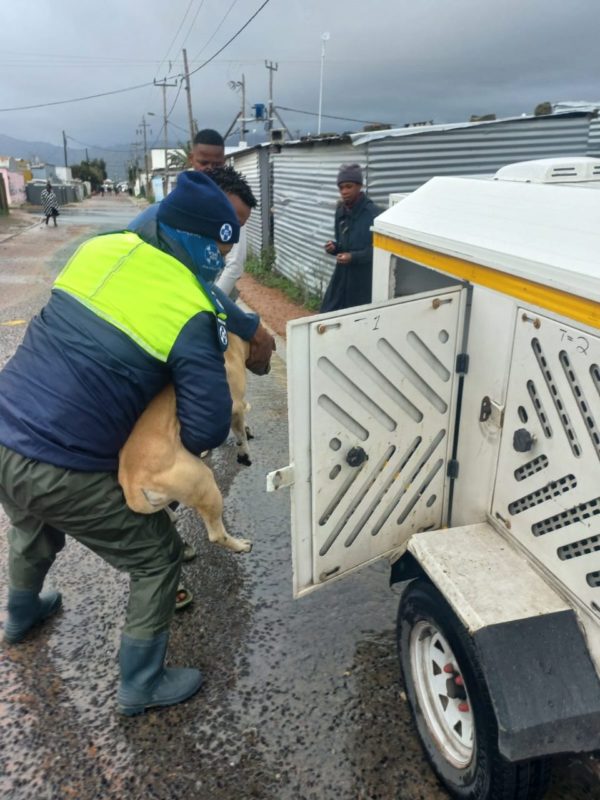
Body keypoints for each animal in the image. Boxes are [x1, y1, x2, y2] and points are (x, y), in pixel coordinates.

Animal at [119, 332, 253, 552]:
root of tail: (131, 485)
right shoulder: (234, 409)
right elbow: (240, 433)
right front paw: (245, 449)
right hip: (205, 484)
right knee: (216, 534)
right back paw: (240, 545)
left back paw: (172, 517)